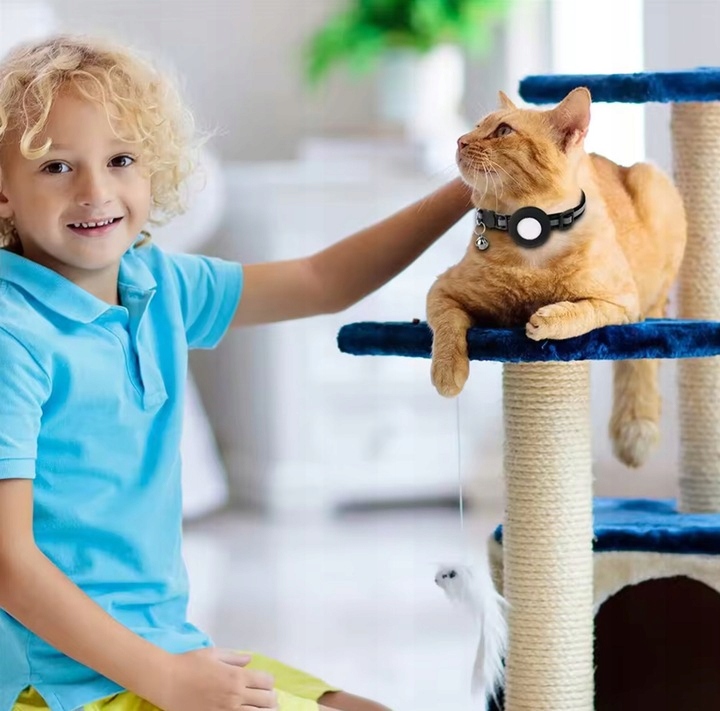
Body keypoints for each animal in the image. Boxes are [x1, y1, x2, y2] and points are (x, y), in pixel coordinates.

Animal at [426, 87, 687, 468]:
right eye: (476, 127)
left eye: (503, 131)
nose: (461, 140)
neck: (529, 238)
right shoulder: (442, 291)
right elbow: (447, 328)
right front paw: (447, 371)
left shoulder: (623, 303)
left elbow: (584, 311)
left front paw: (548, 319)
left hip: (653, 188)